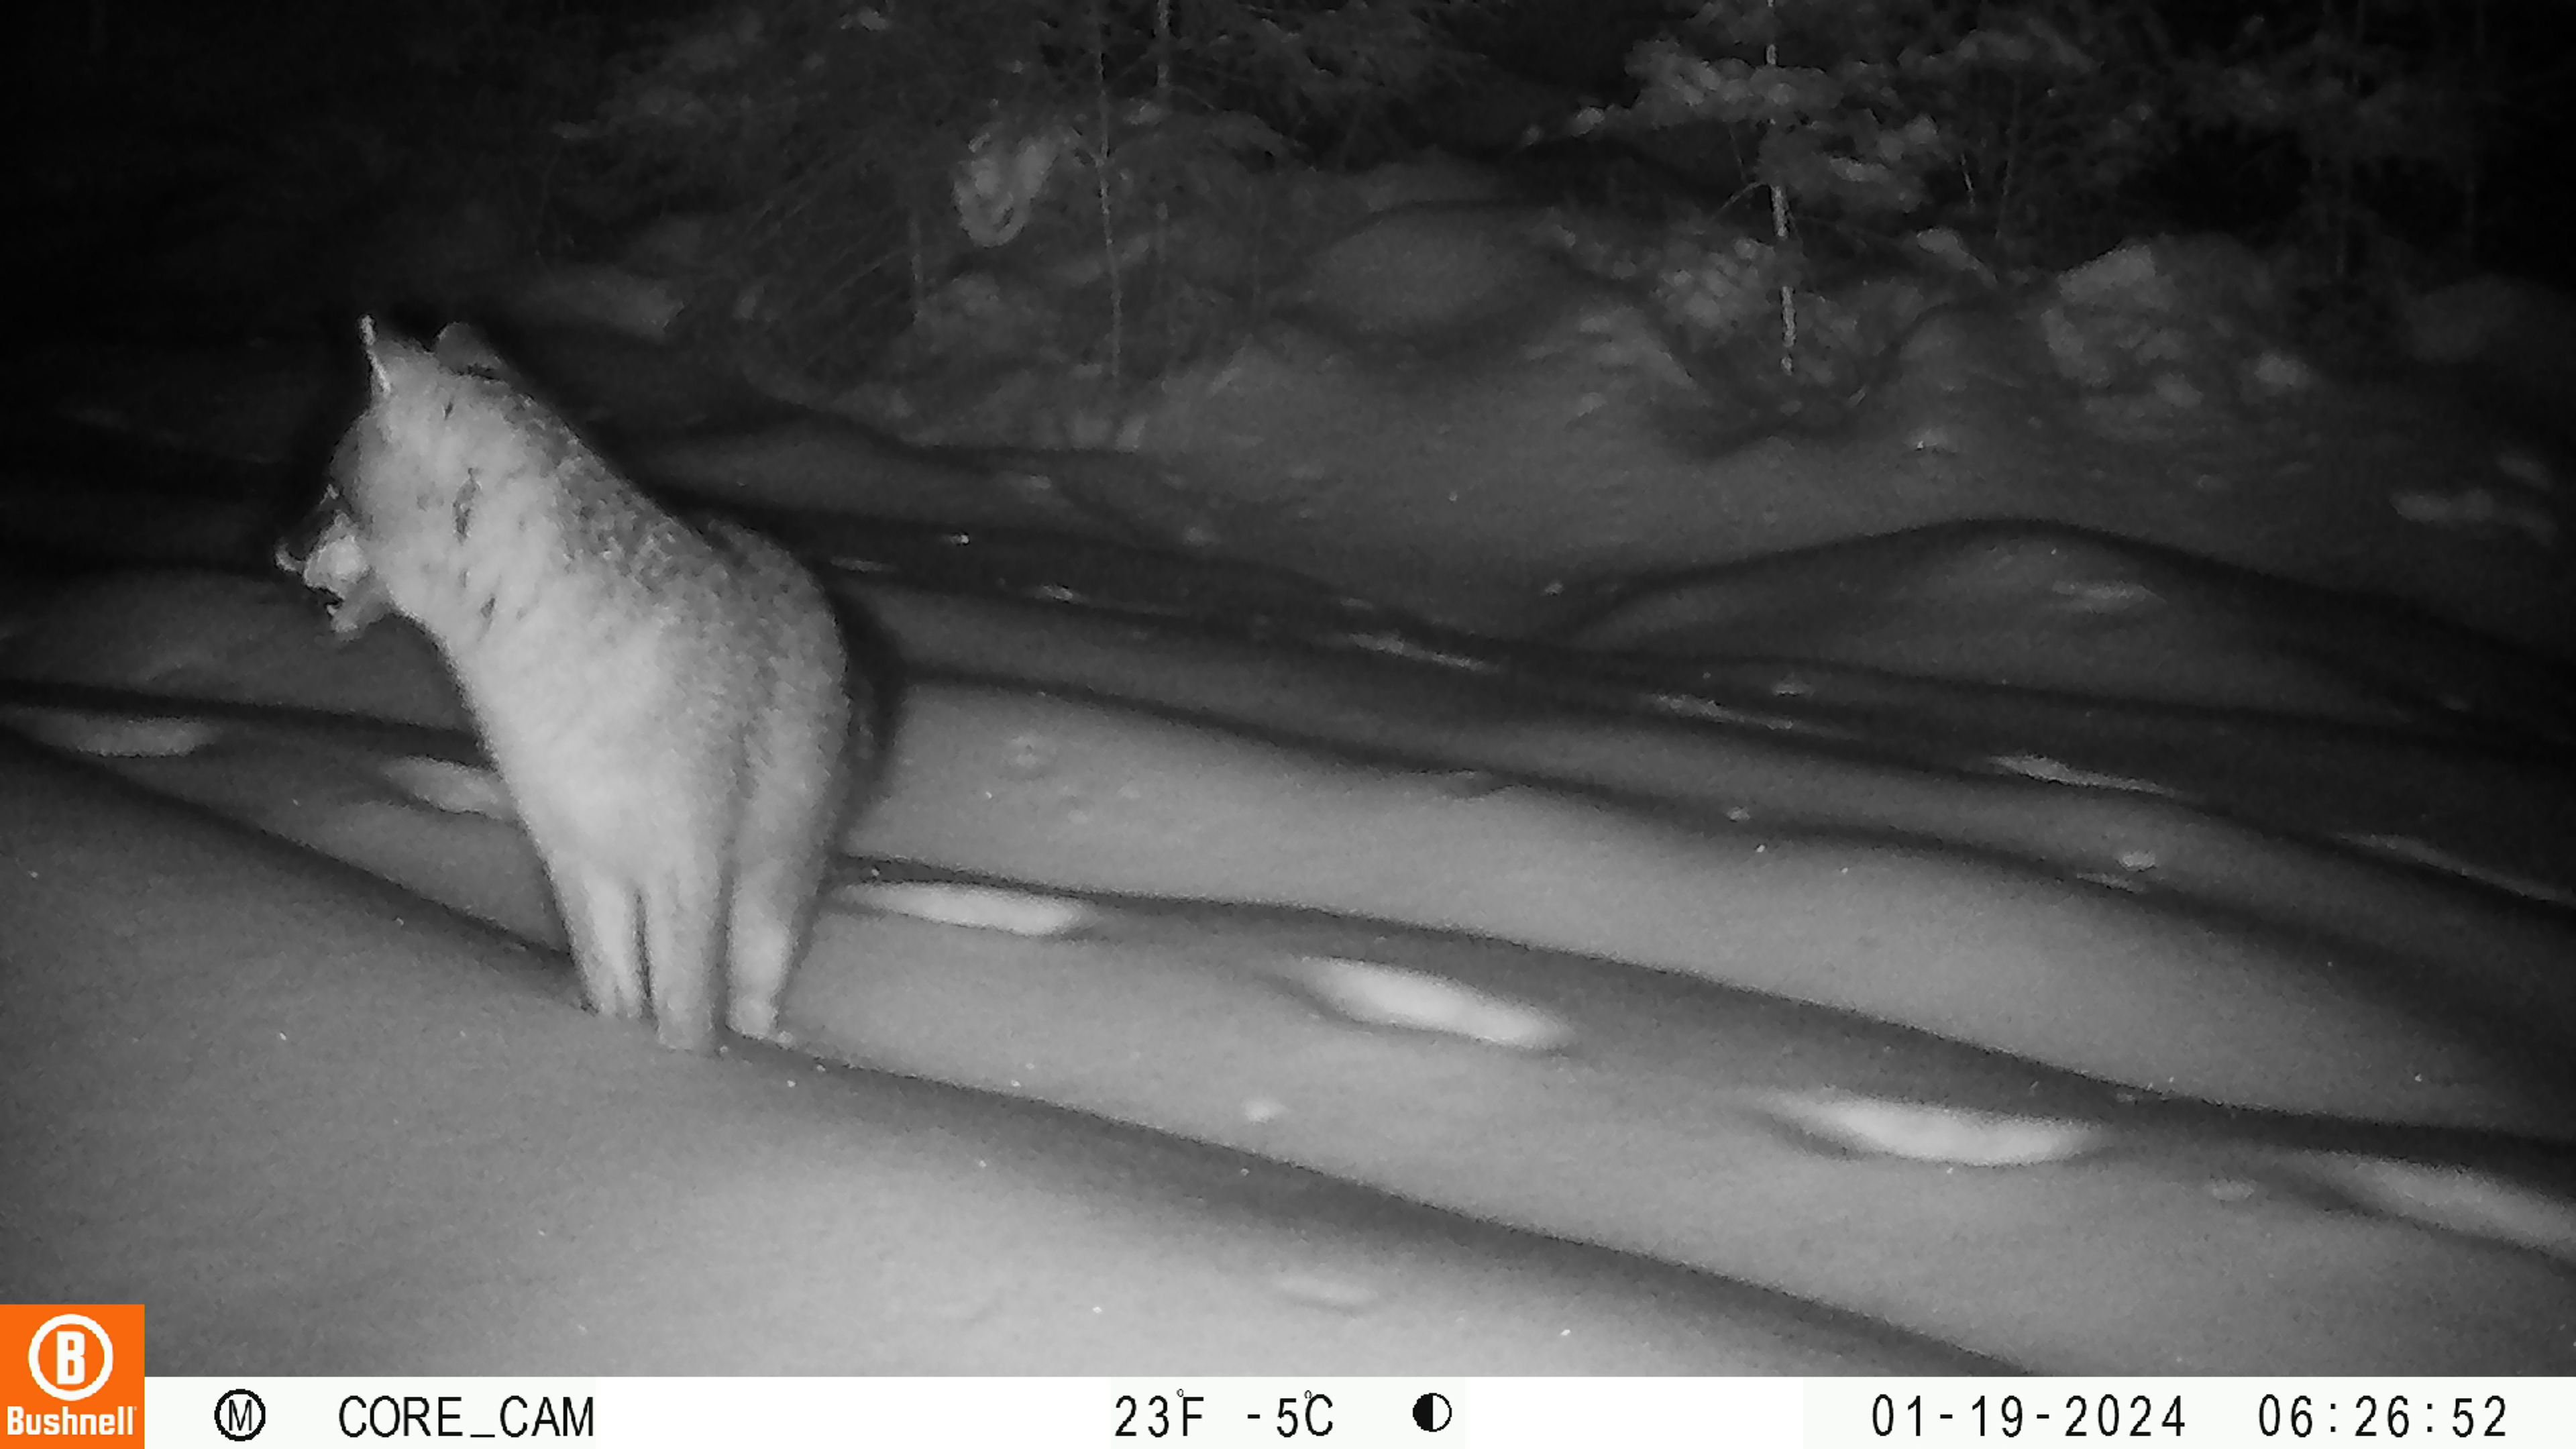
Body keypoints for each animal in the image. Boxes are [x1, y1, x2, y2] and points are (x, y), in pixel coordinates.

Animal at [280, 317, 868, 1052]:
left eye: (334, 494)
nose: (281, 550)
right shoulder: (574, 852)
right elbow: (612, 992)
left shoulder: (684, 861)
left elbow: (685, 1015)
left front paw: (686, 1070)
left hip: (768, 902)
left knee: (752, 1005)